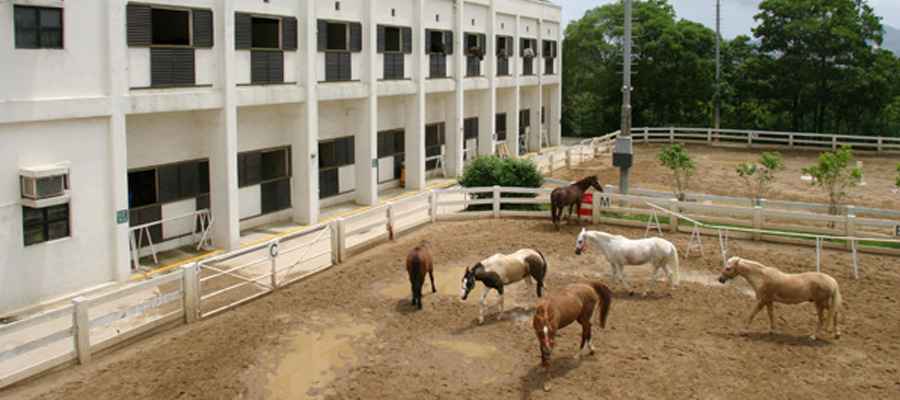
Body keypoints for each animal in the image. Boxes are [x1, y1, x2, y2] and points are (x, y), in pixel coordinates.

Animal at [716, 256, 844, 340]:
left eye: (728, 268)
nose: (720, 279)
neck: (761, 278)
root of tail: (832, 280)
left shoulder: (762, 301)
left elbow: (752, 314)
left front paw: (744, 331)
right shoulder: (768, 301)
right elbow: (771, 314)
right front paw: (772, 330)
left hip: (820, 303)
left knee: (822, 319)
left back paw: (813, 336)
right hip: (825, 303)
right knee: (835, 313)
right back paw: (837, 333)